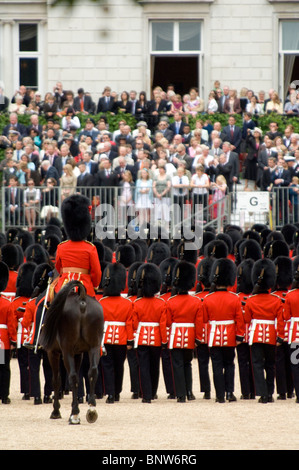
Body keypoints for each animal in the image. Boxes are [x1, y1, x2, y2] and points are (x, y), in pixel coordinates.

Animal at [39, 280, 105, 424]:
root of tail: (82, 300)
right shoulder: (79, 353)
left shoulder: (53, 352)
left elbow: (56, 380)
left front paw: (56, 411)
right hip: (94, 347)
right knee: (93, 371)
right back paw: (91, 409)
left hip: (67, 350)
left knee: (72, 376)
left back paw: (74, 414)